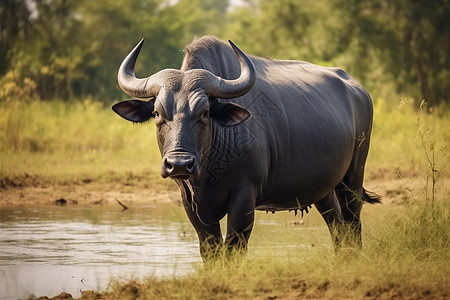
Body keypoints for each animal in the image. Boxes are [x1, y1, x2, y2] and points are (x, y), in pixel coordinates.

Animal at [112, 35, 380, 260]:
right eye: (157, 113)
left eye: (205, 112)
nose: (179, 164)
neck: (210, 168)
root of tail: (360, 91)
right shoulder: (191, 202)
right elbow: (210, 250)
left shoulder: (244, 197)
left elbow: (234, 249)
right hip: (323, 189)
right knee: (337, 227)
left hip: (353, 178)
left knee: (353, 223)